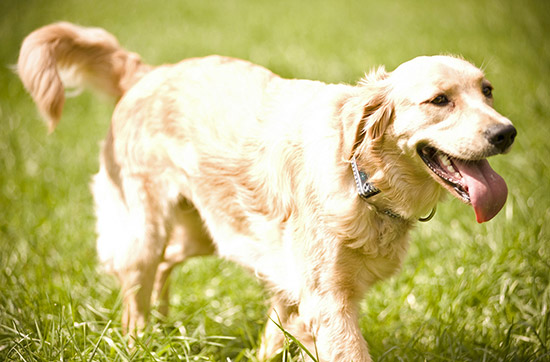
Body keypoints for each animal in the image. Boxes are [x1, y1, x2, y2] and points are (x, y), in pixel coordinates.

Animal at [17, 21, 516, 360]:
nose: (506, 132)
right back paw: (142, 340)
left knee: (161, 270)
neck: (364, 178)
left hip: (202, 231)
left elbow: (274, 341)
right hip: (146, 227)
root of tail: (146, 73)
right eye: (439, 100)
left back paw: (164, 324)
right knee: (133, 291)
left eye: (488, 91)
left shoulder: (295, 292)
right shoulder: (327, 301)